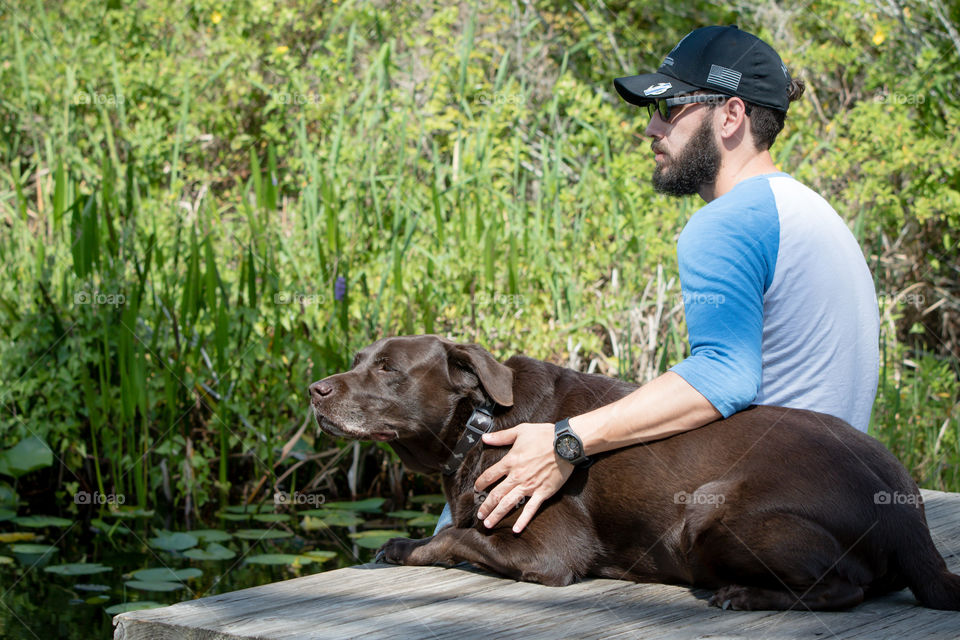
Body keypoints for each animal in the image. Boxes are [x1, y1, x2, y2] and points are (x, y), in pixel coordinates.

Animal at [312, 336, 960, 608]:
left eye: (388, 369)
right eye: (358, 360)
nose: (316, 389)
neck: (479, 420)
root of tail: (908, 515)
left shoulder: (550, 552)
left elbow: (453, 538)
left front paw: (400, 547)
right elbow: (457, 531)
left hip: (703, 513)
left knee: (845, 587)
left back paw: (744, 596)